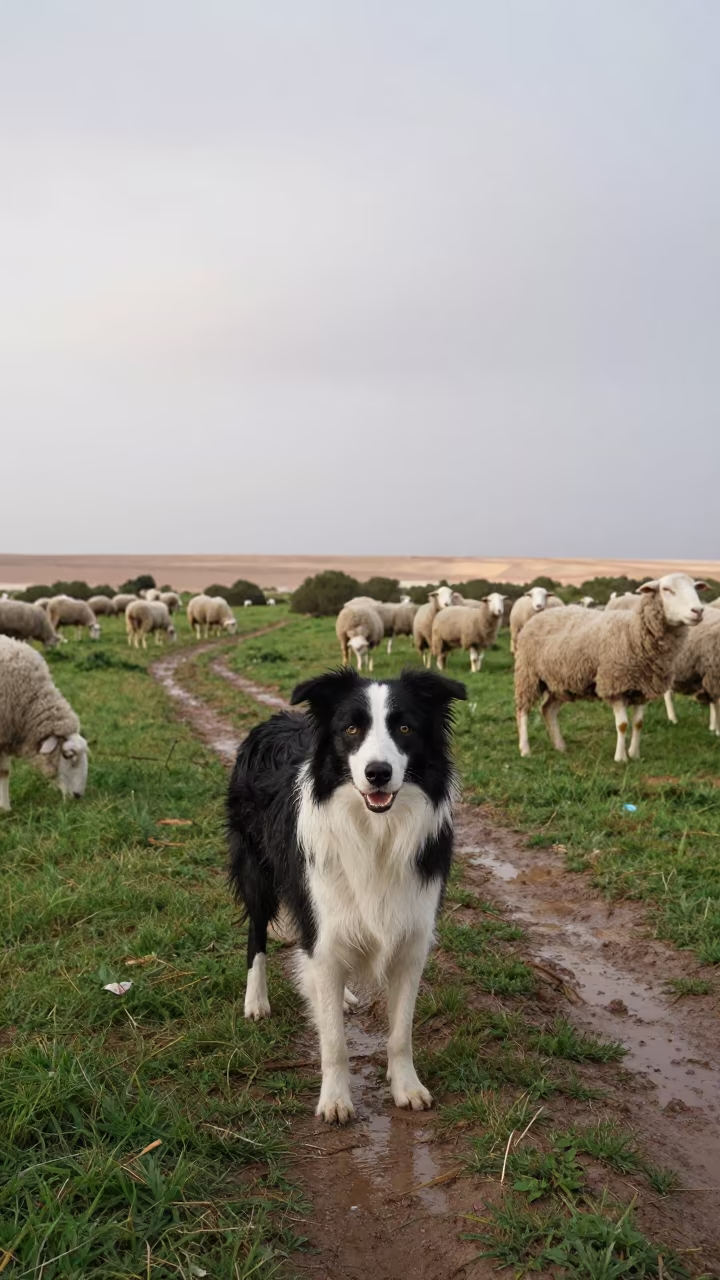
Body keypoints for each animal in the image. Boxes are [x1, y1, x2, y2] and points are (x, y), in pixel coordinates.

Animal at [514, 573, 706, 763]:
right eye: (666, 589)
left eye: (695, 588)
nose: (698, 611)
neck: (634, 632)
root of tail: (540, 615)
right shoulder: (615, 684)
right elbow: (622, 725)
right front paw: (621, 758)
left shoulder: (642, 688)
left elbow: (638, 723)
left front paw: (634, 754)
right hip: (528, 674)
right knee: (522, 710)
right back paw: (525, 749)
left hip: (559, 682)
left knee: (548, 709)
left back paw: (560, 746)